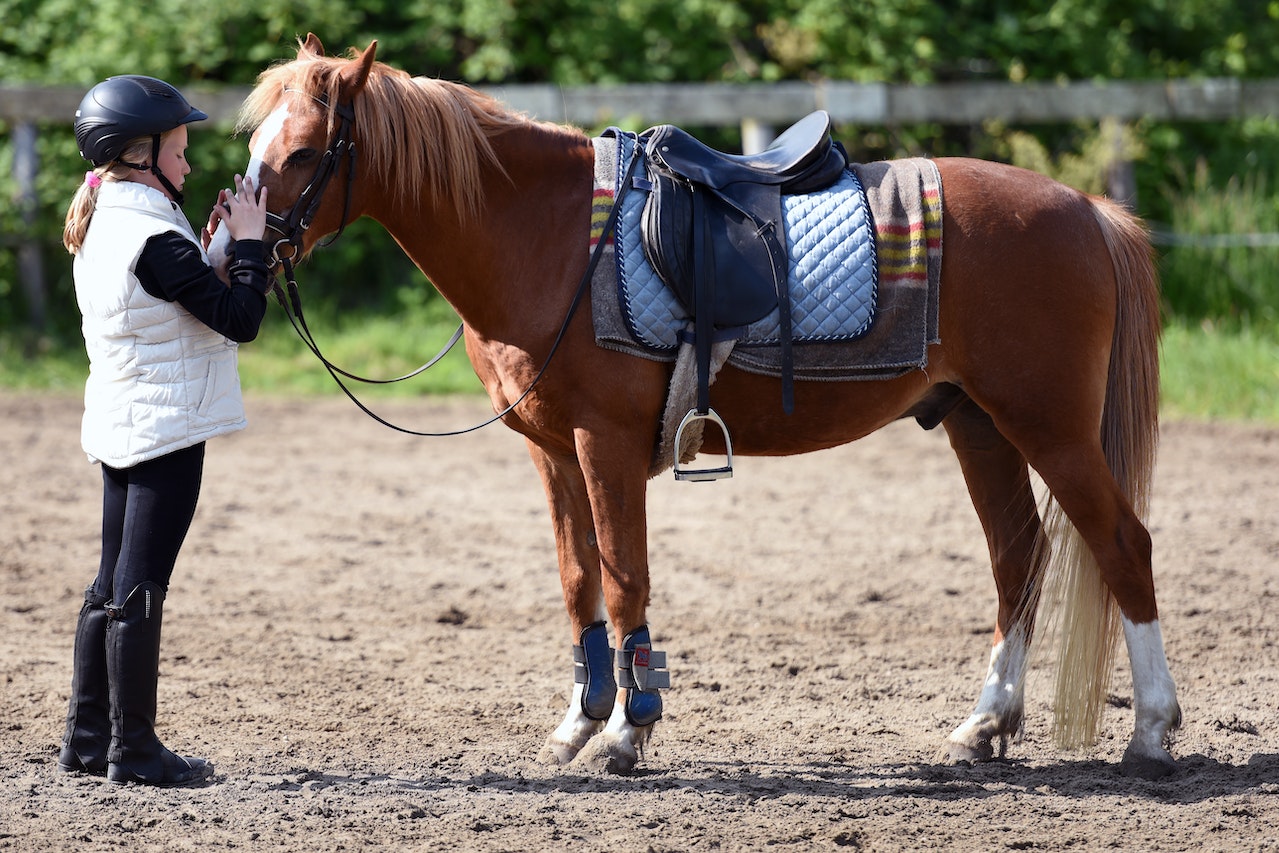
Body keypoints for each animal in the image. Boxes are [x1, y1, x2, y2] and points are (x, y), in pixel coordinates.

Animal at [209, 35, 1176, 782]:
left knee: (1122, 545)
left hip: (1050, 427)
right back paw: (984, 724)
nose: (224, 257)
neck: (543, 235)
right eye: (257, 141)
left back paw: (1152, 733)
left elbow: (625, 577)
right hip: (977, 423)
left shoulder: (601, 444)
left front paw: (627, 729)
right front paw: (580, 719)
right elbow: (578, 579)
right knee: (1018, 556)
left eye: (304, 153)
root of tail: (1084, 208)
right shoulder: (549, 451)